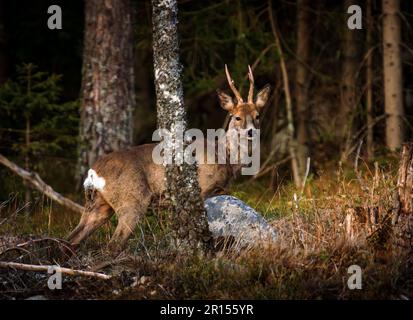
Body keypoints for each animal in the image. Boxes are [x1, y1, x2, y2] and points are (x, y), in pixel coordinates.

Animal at [67, 65, 270, 251]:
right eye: (236, 117)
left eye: (257, 115)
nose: (251, 131)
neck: (225, 157)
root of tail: (93, 172)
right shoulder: (203, 188)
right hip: (132, 200)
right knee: (113, 243)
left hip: (98, 204)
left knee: (73, 238)